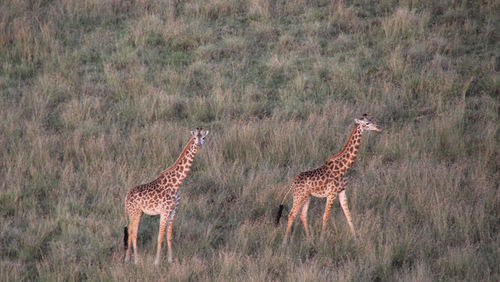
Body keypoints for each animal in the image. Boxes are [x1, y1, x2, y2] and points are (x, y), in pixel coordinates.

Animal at [124, 128, 208, 264]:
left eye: (203, 138)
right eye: (195, 138)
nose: (199, 145)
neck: (176, 184)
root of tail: (126, 196)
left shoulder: (173, 211)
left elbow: (169, 236)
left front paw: (170, 259)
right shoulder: (164, 211)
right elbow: (160, 236)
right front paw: (157, 262)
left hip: (138, 213)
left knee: (131, 231)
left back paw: (127, 258)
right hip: (134, 212)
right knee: (133, 232)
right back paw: (136, 260)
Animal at [276, 114, 380, 245]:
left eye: (372, 120)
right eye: (367, 123)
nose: (378, 128)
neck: (343, 168)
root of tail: (294, 182)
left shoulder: (342, 192)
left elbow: (348, 215)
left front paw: (355, 238)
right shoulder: (331, 194)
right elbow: (326, 216)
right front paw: (321, 240)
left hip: (307, 196)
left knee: (302, 214)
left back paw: (309, 238)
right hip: (299, 195)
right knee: (292, 214)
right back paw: (284, 242)